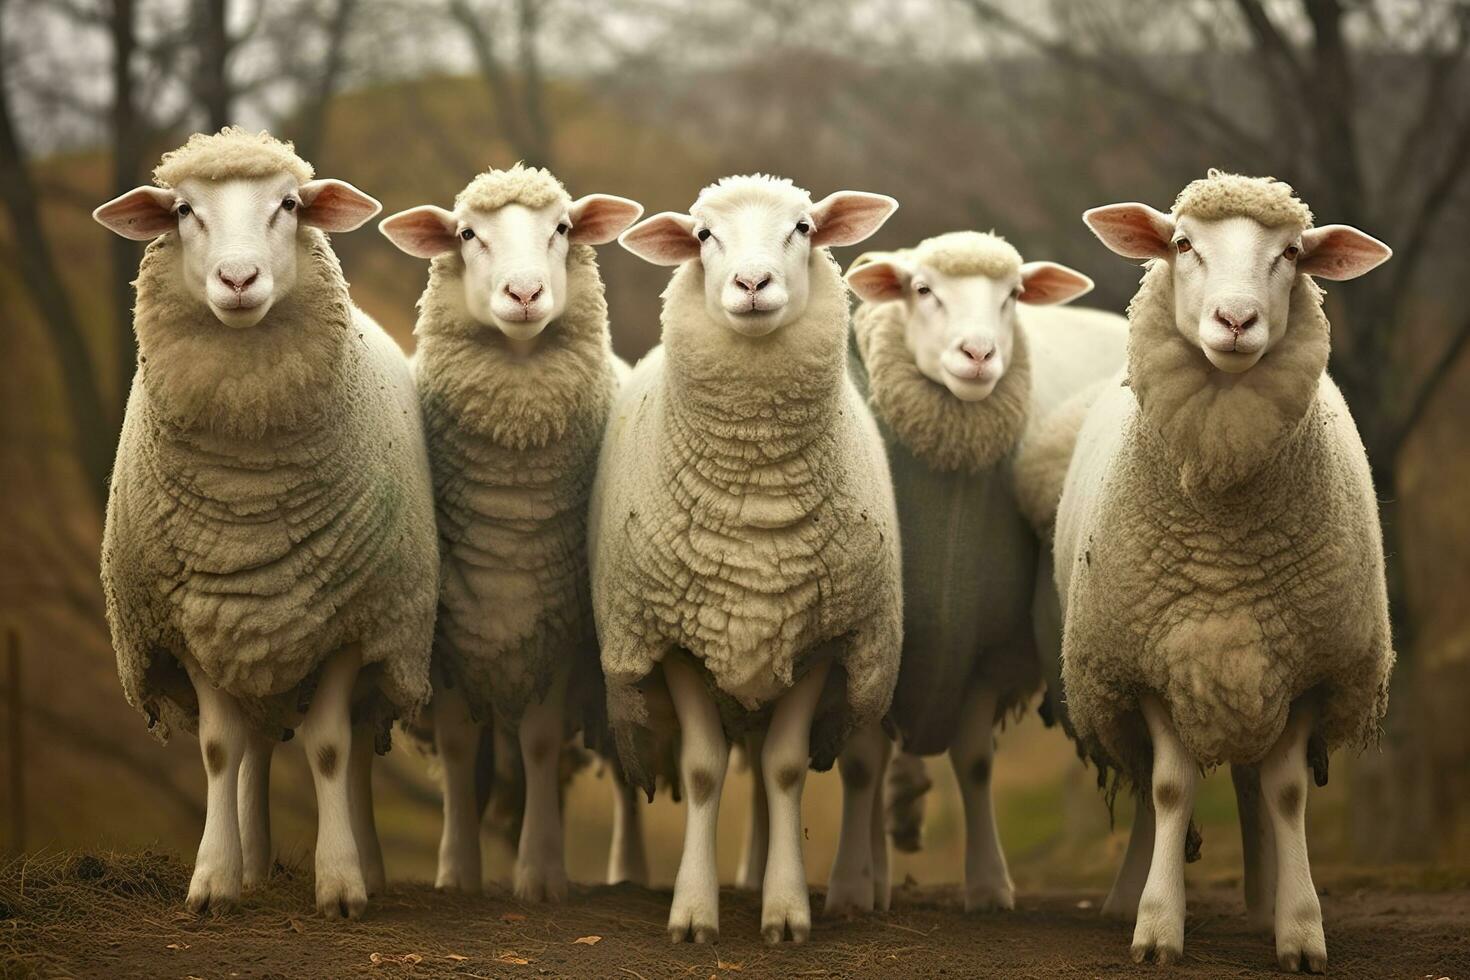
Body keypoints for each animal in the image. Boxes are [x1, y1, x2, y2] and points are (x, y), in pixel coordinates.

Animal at [91, 126, 432, 916]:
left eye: (289, 205)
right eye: (184, 210)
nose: (239, 279)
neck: (246, 503)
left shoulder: (351, 622)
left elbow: (331, 749)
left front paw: (341, 885)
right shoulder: (192, 621)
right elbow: (218, 750)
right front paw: (213, 882)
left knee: (348, 749)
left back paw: (364, 864)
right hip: (248, 642)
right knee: (247, 749)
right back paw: (249, 864)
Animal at [379, 163, 643, 905]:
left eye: (562, 228)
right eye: (467, 234)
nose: (524, 294)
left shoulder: (559, 633)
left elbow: (542, 744)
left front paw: (540, 873)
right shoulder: (447, 639)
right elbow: (459, 749)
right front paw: (457, 872)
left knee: (625, 770)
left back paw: (630, 872)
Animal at [590, 174, 899, 940]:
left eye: (804, 227)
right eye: (703, 235)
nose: (752, 283)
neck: (757, 506)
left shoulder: (822, 636)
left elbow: (785, 770)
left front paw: (785, 910)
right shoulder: (674, 639)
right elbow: (703, 771)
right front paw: (693, 913)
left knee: (763, 768)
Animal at [840, 230, 1123, 910]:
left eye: (1014, 294)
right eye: (922, 289)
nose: (979, 354)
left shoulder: (985, 648)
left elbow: (974, 765)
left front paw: (990, 885)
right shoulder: (880, 642)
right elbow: (862, 763)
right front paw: (852, 889)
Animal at [1064, 172, 1393, 969]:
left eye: (1293, 253)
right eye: (1183, 244)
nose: (1237, 320)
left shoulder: (1306, 665)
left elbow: (1286, 795)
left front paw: (1300, 929)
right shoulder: (1152, 663)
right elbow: (1168, 789)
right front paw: (1157, 927)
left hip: (1255, 679)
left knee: (1256, 785)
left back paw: (1264, 898)